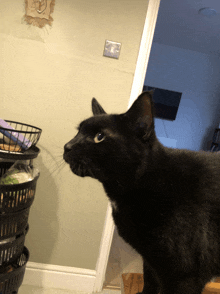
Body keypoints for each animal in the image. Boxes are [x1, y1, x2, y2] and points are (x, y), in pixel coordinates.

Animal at [63, 90, 220, 292]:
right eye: (78, 131)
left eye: (99, 136)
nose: (67, 146)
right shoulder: (151, 264)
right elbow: (149, 287)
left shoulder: (184, 277)